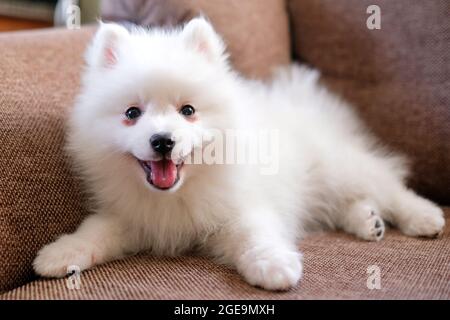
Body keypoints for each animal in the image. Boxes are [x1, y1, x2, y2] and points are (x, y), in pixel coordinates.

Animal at [33, 18, 444, 292]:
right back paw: (367, 221)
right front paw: (59, 254)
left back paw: (423, 216)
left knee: (388, 185)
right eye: (132, 113)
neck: (177, 195)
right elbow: (96, 230)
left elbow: (255, 235)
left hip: (337, 167)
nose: (163, 140)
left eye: (188, 110)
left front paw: (275, 265)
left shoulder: (240, 207)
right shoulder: (133, 216)